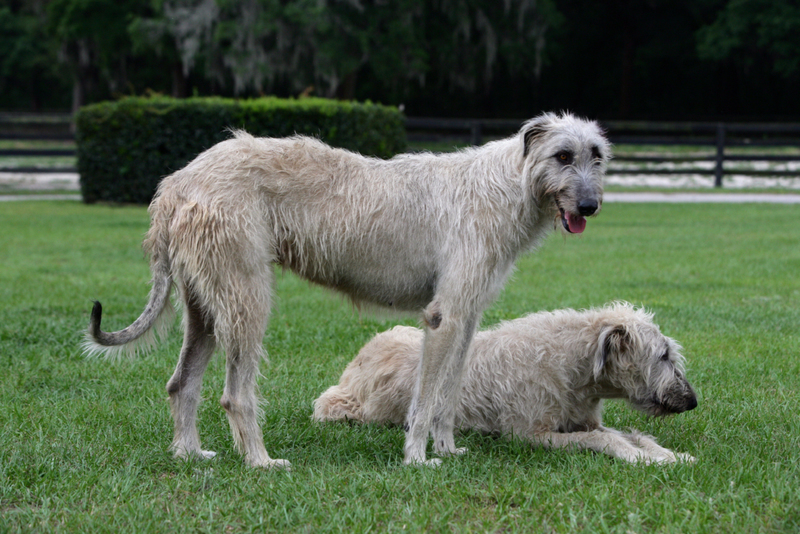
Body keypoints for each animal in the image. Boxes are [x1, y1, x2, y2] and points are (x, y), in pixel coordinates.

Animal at [83, 113, 608, 468]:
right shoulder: (443, 317)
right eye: (562, 155)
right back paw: (260, 461)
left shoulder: (468, 316)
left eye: (597, 156)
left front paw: (448, 447)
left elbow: (448, 393)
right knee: (234, 395)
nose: (590, 206)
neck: (506, 185)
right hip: (246, 296)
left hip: (205, 302)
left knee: (181, 383)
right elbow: (425, 399)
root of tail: (177, 181)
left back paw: (191, 454)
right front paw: (418, 458)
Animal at [316, 304, 696, 466]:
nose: (692, 401)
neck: (573, 366)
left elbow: (628, 433)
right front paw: (640, 457)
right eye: (663, 355)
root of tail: (363, 353)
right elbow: (602, 439)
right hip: (350, 406)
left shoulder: (584, 418)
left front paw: (668, 453)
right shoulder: (528, 434)